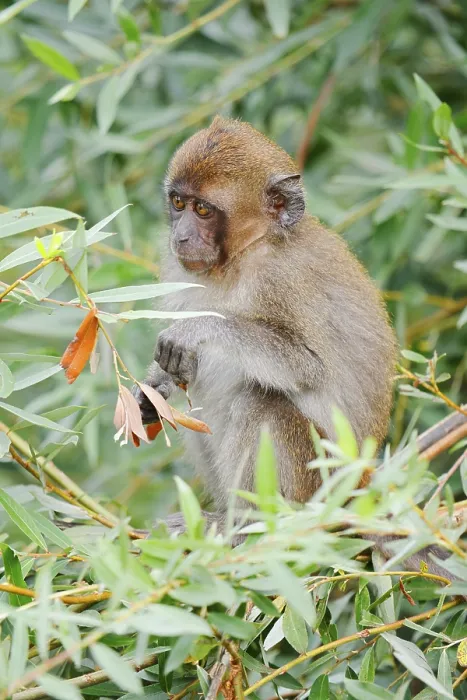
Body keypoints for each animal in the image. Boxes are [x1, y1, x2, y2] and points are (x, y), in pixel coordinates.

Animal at [133, 116, 462, 579]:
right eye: (178, 203)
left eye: (203, 210)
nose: (179, 236)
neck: (244, 254)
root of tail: (359, 491)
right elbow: (179, 379)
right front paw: (152, 390)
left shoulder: (281, 280)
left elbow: (306, 366)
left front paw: (199, 329)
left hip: (320, 484)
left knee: (261, 401)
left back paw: (248, 528)